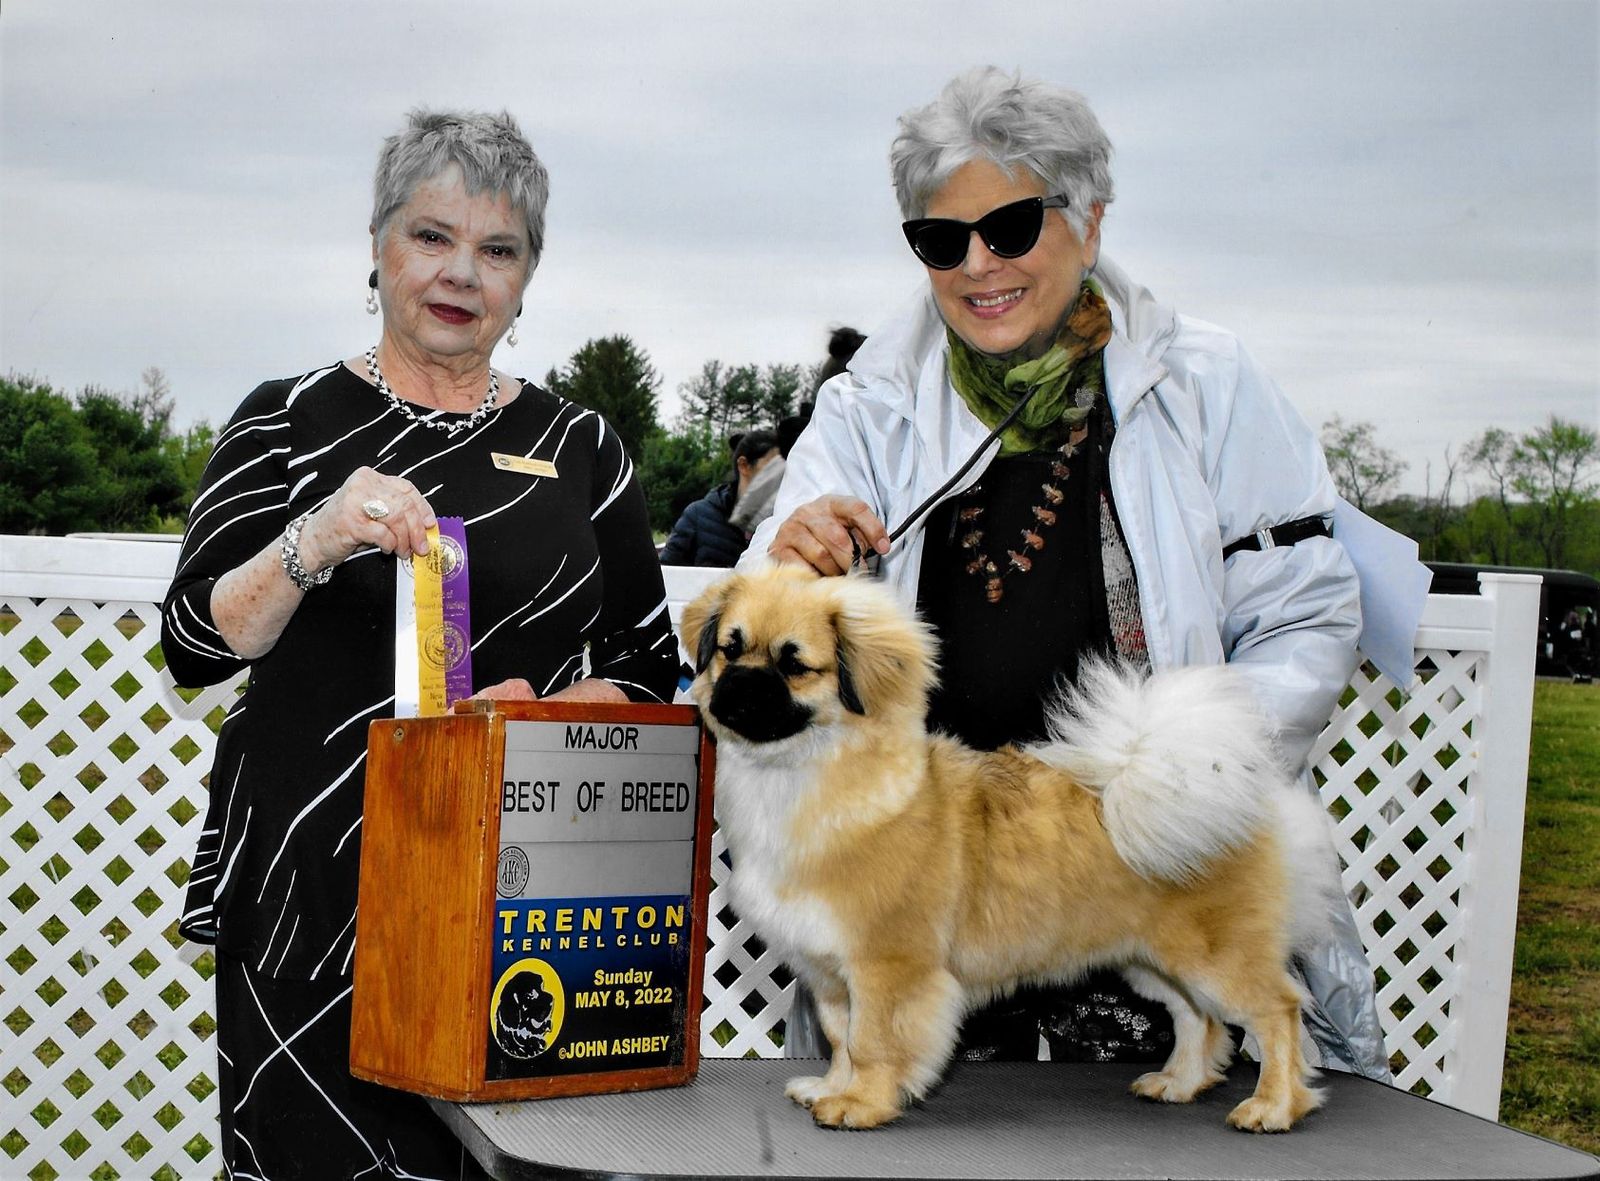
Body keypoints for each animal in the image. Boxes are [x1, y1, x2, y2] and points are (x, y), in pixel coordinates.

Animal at [681, 564, 1344, 1133]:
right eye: (730, 649)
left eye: (795, 666)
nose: (739, 688)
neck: (802, 777)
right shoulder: (831, 973)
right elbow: (843, 1040)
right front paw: (830, 1089)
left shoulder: (888, 967)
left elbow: (873, 1043)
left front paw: (861, 1104)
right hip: (1153, 960)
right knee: (1195, 1017)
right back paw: (1179, 1084)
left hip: (1218, 955)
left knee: (1277, 1011)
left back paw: (1273, 1107)